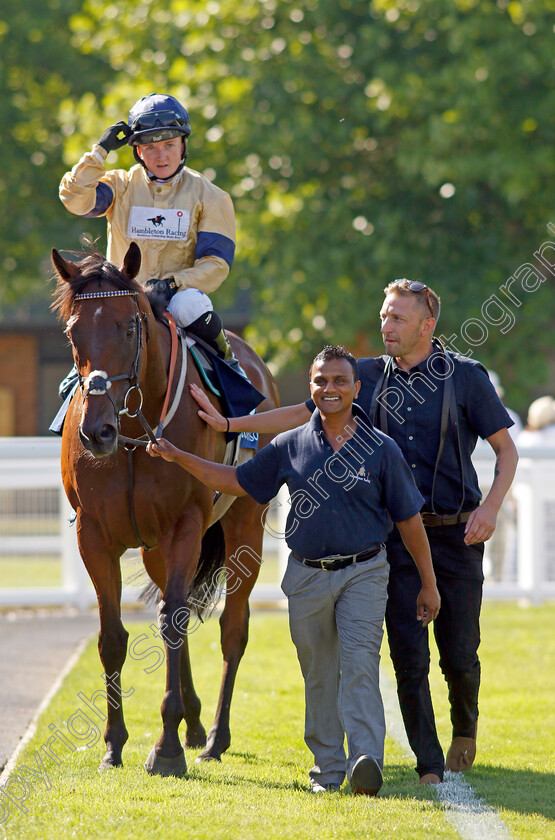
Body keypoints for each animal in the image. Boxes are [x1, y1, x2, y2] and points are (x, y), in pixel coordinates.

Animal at [51, 241, 282, 776]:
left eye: (129, 326)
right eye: (73, 331)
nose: (97, 431)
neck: (135, 434)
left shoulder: (185, 526)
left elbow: (178, 623)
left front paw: (167, 747)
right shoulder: (94, 535)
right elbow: (114, 635)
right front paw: (114, 743)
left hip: (244, 525)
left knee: (231, 628)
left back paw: (213, 736)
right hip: (155, 547)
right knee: (167, 610)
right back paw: (194, 723)